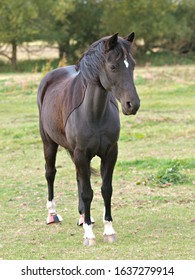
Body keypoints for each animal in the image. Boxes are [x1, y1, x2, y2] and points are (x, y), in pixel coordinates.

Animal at [37, 32, 140, 246]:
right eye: (113, 66)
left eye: (133, 65)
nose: (132, 105)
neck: (93, 113)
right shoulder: (80, 153)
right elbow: (87, 193)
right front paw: (89, 235)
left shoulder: (110, 152)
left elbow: (105, 189)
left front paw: (108, 230)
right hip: (49, 143)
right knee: (50, 173)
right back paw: (53, 215)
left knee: (79, 178)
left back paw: (84, 216)